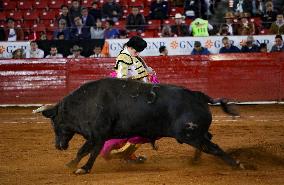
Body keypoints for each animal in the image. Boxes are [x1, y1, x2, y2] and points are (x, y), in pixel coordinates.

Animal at [33, 77, 242, 174]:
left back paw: (237, 164)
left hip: (190, 134)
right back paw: (195, 161)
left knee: (213, 147)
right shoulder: (95, 137)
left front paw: (83, 169)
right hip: (195, 133)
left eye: (54, 122)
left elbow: (88, 152)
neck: (85, 103)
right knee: (208, 142)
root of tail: (198, 95)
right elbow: (82, 151)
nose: (58, 146)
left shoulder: (98, 136)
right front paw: (71, 164)